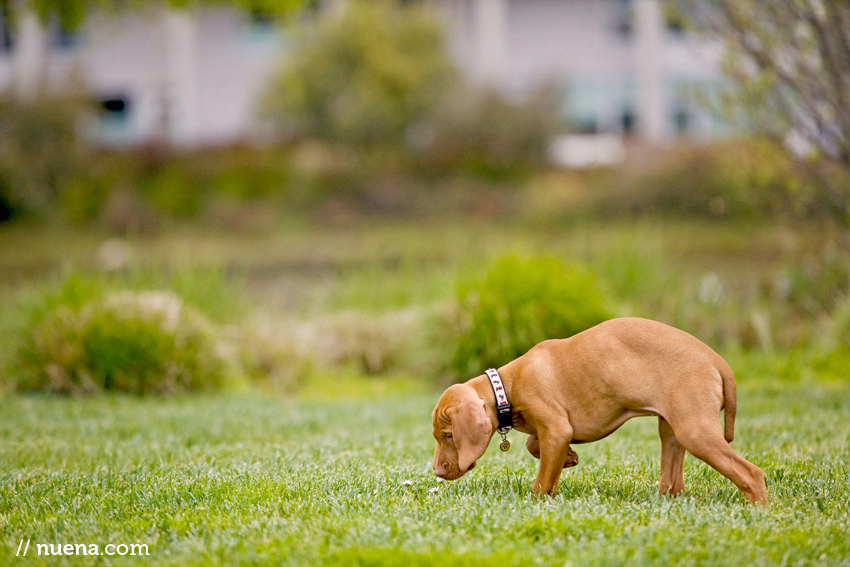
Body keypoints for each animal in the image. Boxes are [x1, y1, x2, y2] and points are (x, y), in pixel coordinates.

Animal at [430, 318, 768, 508]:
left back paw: (759, 513)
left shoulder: (557, 428)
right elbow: (535, 447)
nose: (437, 472)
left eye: (448, 435)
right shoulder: (554, 431)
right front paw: (569, 458)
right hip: (672, 430)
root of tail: (716, 360)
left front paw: (536, 501)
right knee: (673, 483)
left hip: (694, 431)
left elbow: (542, 483)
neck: (506, 388)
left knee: (751, 474)